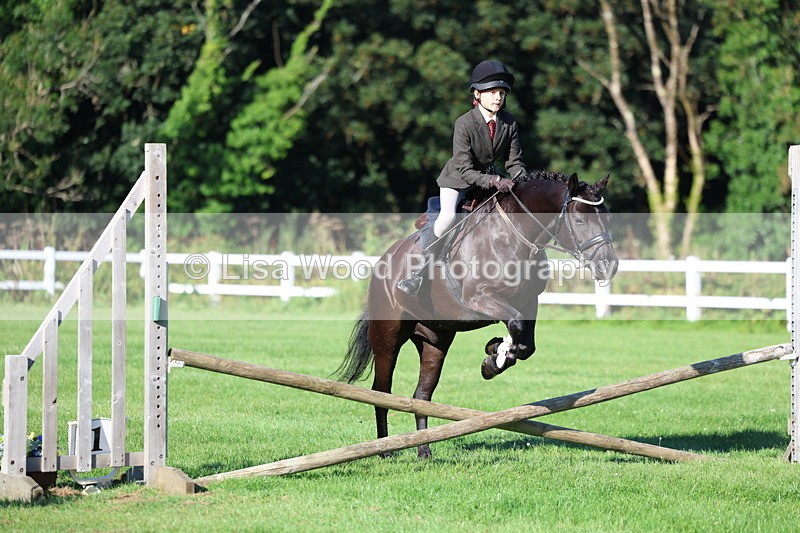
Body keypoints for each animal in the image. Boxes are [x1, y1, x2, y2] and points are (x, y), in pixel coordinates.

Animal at [337, 170, 619, 459]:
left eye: (608, 217)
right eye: (579, 219)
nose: (609, 266)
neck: (514, 235)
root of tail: (384, 259)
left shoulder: (528, 302)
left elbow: (525, 343)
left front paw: (495, 352)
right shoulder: (480, 297)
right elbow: (515, 325)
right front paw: (495, 357)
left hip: (435, 339)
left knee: (422, 394)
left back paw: (423, 450)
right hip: (388, 336)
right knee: (381, 391)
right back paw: (384, 450)